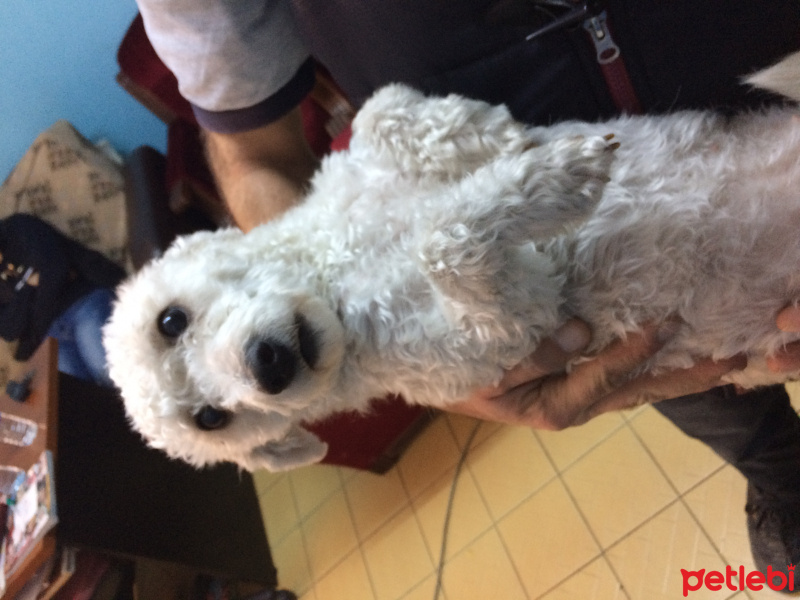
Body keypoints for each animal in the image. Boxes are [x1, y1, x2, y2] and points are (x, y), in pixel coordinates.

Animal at [103, 52, 800, 474]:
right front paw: (553, 179)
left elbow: (380, 111)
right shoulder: (512, 327)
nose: (265, 367)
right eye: (210, 419)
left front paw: (497, 138)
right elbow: (444, 242)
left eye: (170, 321)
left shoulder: (359, 163)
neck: (339, 275)